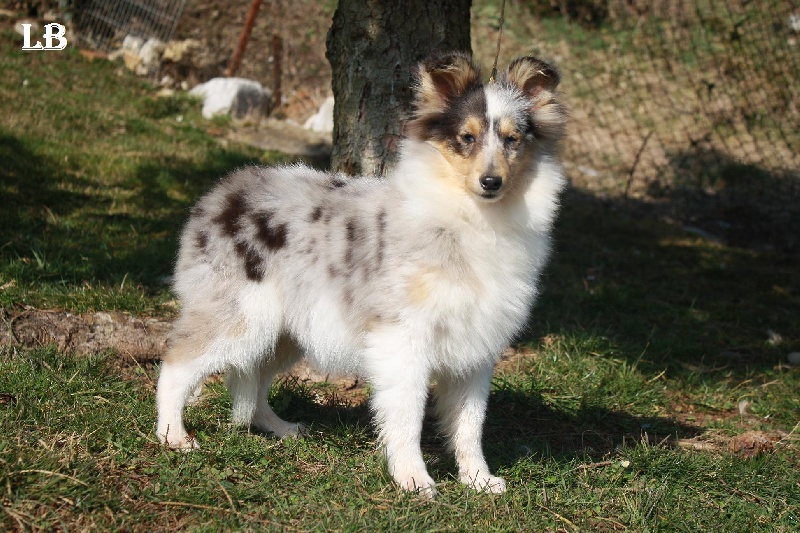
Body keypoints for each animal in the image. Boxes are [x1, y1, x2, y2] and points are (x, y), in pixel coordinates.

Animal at [156, 52, 564, 496]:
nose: (491, 182)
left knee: (254, 382)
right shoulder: (402, 339)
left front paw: (478, 480)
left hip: (283, 330)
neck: (470, 218)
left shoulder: (475, 350)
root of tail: (222, 192)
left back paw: (281, 428)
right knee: (175, 364)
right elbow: (406, 417)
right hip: (239, 317)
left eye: (512, 139)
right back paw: (172, 437)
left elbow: (469, 424)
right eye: (466, 138)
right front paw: (414, 480)